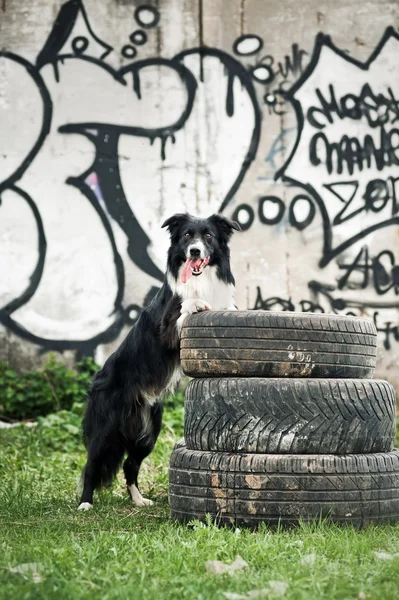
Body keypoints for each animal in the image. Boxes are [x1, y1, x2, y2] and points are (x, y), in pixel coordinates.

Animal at [78, 213, 241, 508]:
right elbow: (185, 309)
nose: (195, 251)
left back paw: (139, 500)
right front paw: (195, 304)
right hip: (106, 428)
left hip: (147, 433)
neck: (202, 280)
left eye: (208, 236)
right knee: (92, 463)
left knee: (130, 465)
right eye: (187, 235)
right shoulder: (167, 331)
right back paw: (86, 503)